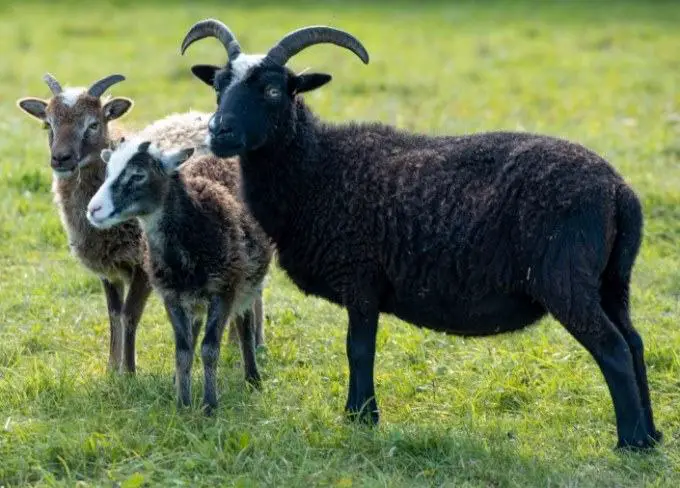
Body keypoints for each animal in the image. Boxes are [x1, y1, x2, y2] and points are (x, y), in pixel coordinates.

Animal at [86, 139, 273, 411]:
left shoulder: (224, 290)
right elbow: (183, 350)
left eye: (138, 175)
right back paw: (178, 380)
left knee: (244, 324)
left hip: (247, 282)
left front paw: (209, 406)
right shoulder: (171, 296)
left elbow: (210, 349)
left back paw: (252, 378)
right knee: (194, 330)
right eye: (108, 171)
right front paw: (183, 404)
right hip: (193, 298)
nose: (93, 209)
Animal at [179, 20, 660, 449]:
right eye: (218, 86)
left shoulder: (361, 277)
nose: (219, 132)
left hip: (566, 280)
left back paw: (630, 442)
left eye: (274, 90)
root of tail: (619, 191)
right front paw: (361, 414)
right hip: (612, 281)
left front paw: (360, 417)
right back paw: (652, 434)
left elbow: (358, 349)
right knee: (635, 342)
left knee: (613, 348)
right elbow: (359, 350)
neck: (318, 167)